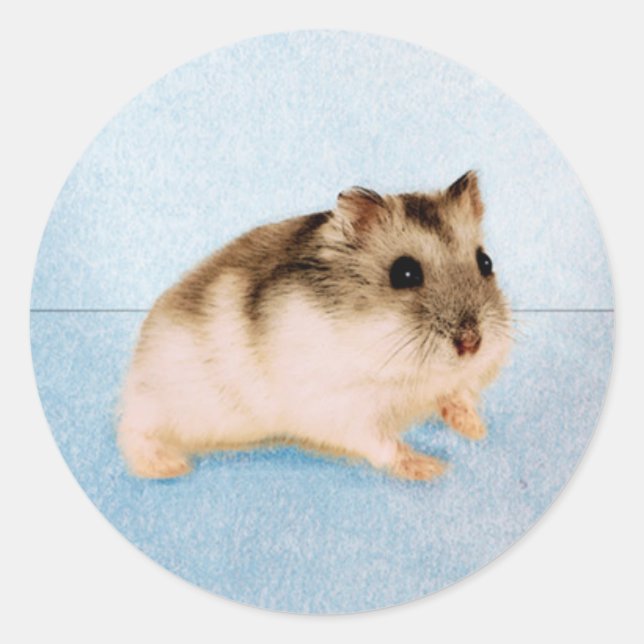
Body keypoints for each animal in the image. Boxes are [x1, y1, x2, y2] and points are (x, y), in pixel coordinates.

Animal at [117, 171, 513, 481]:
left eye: (486, 262)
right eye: (404, 273)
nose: (471, 344)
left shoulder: (453, 381)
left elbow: (457, 394)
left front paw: (475, 430)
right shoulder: (341, 409)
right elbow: (380, 442)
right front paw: (430, 468)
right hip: (155, 403)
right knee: (130, 431)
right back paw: (168, 467)